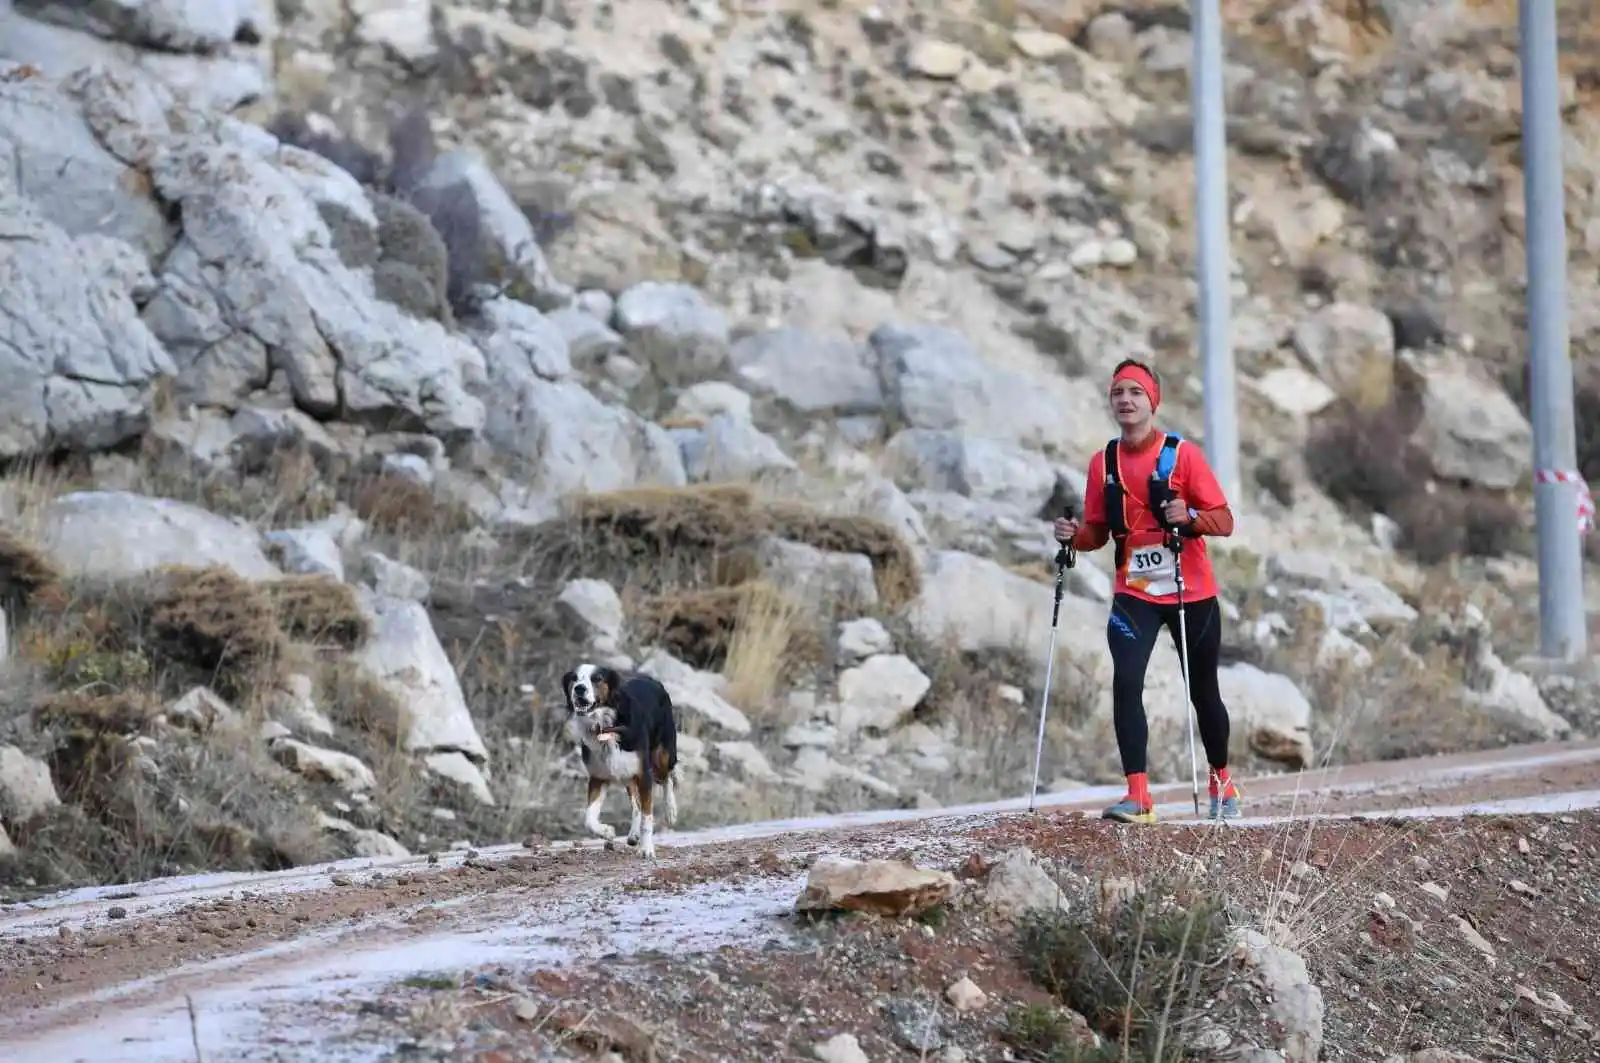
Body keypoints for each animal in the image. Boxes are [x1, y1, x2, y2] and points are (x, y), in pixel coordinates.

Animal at [560, 659, 678, 858]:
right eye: (574, 678)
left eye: (597, 678)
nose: (579, 689)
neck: (606, 726)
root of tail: (652, 680)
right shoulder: (598, 777)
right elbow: (589, 819)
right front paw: (607, 831)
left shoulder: (643, 773)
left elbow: (647, 817)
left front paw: (646, 849)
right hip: (626, 773)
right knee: (636, 803)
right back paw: (634, 834)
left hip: (661, 755)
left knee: (667, 778)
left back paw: (670, 811)